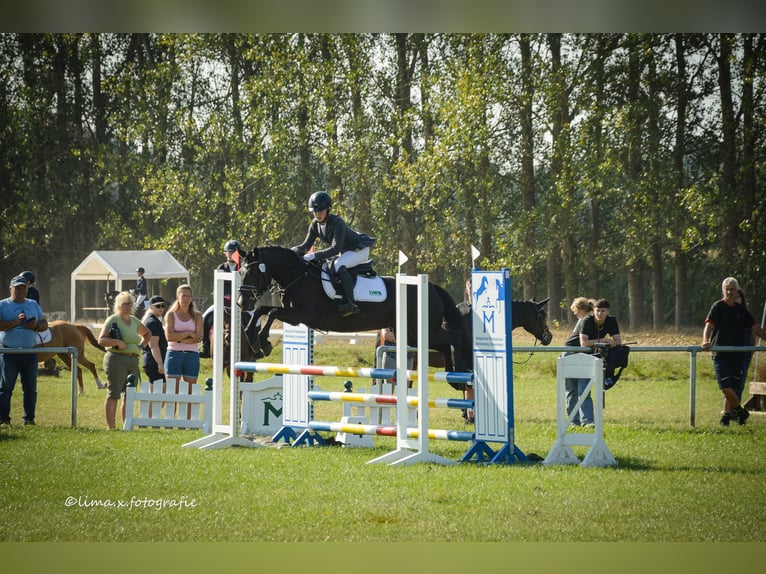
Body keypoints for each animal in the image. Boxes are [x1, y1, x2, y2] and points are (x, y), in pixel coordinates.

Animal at [238, 246, 474, 374]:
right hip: (412, 334)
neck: (298, 276)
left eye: (252, 272)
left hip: (421, 330)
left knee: (456, 337)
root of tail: (431, 287)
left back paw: (461, 370)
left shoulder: (305, 316)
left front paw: (263, 342)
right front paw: (254, 339)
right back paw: (454, 376)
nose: (242, 302)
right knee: (444, 344)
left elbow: (271, 313)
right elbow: (264, 310)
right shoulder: (295, 315)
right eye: (240, 271)